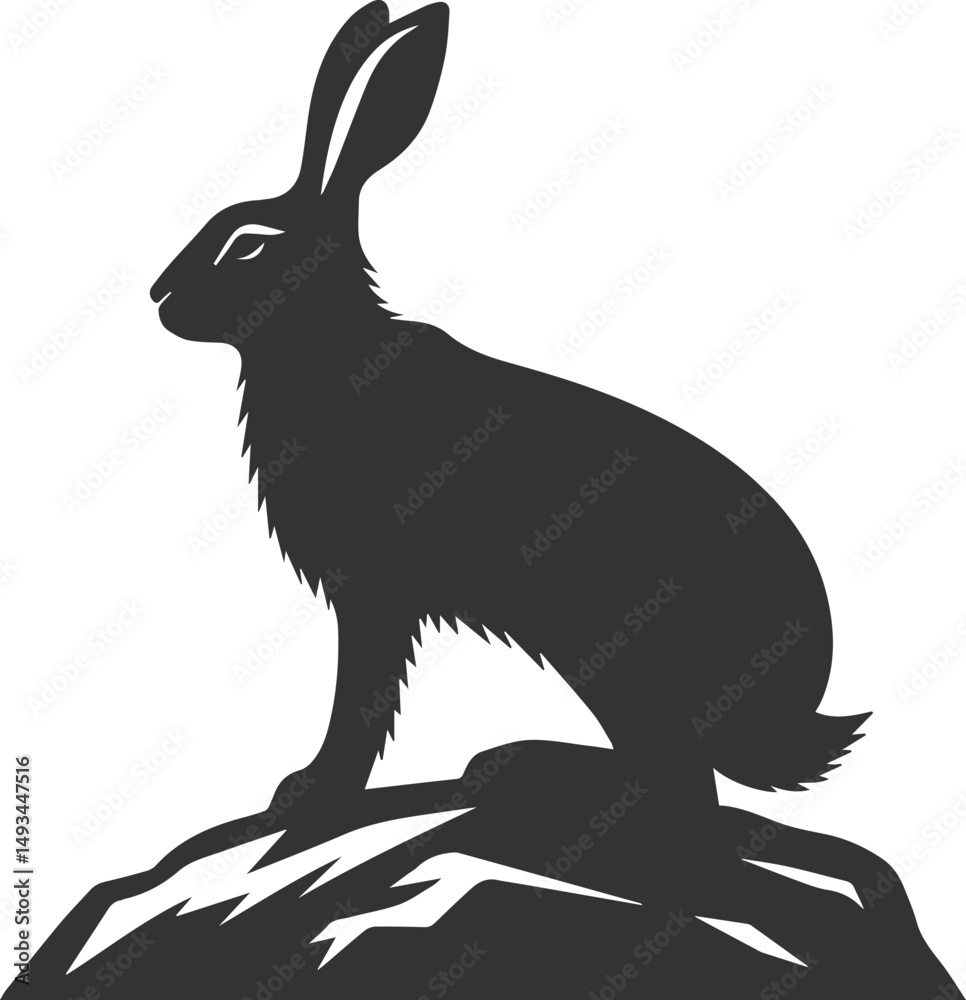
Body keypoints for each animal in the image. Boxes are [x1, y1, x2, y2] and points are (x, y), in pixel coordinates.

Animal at [150, 0, 868, 837]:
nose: (159, 297)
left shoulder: (376, 594)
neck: (322, 343)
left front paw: (311, 792)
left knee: (678, 786)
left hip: (614, 649)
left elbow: (362, 699)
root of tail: (792, 715)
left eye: (247, 245)